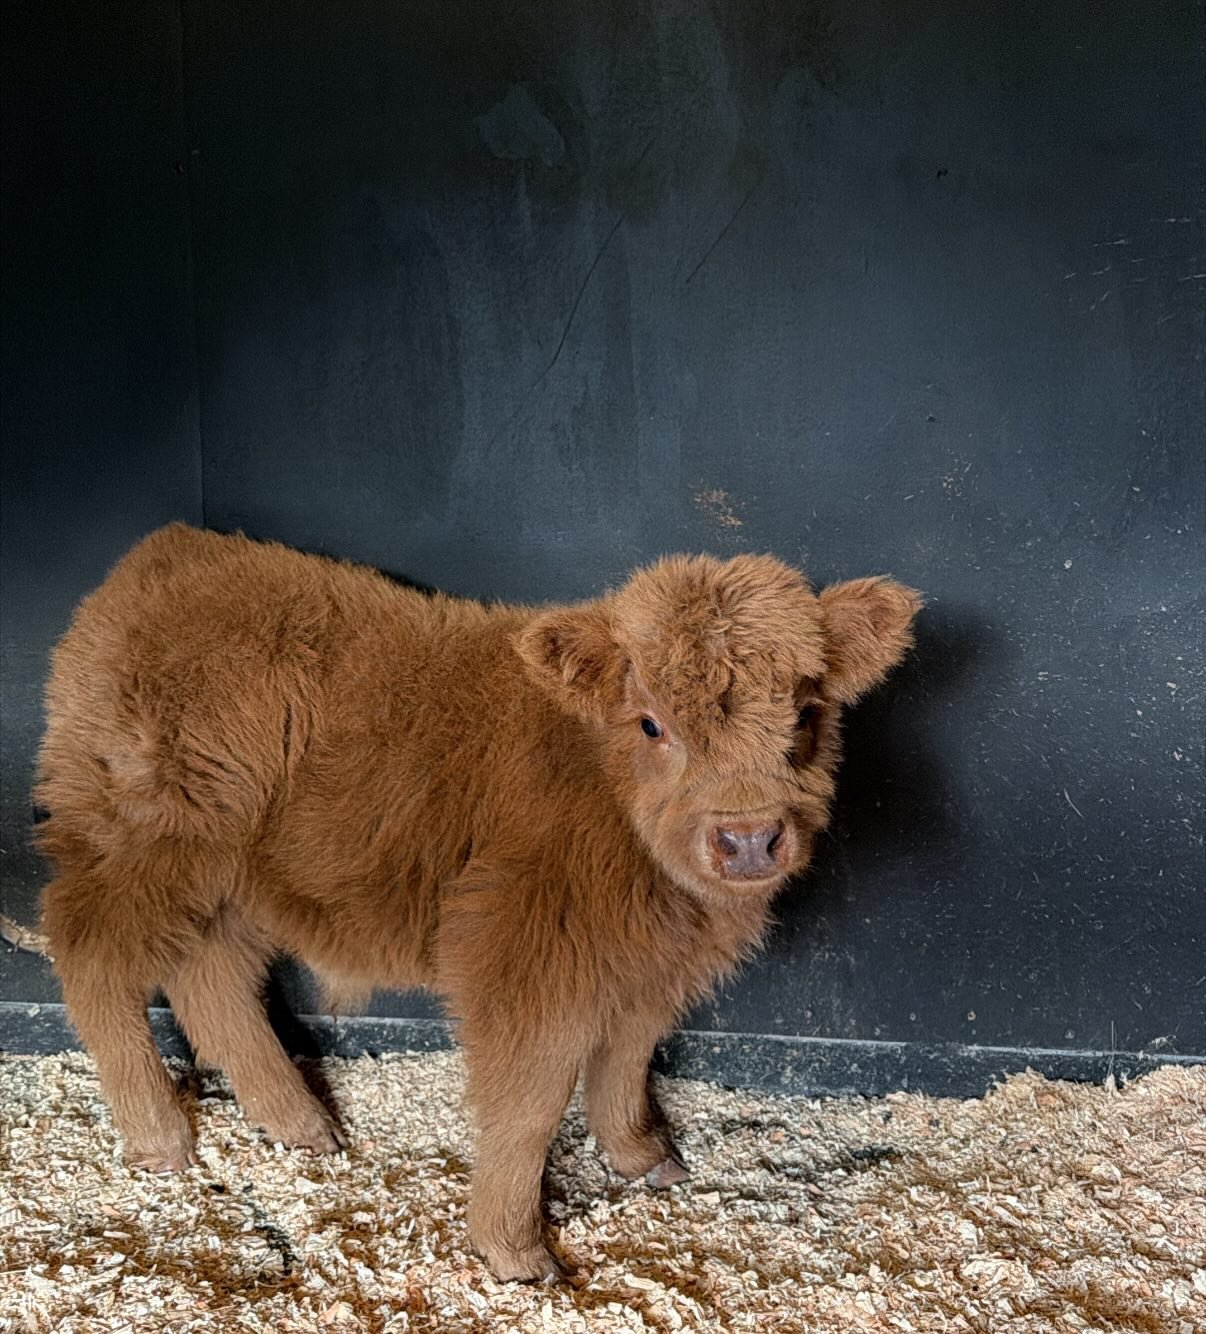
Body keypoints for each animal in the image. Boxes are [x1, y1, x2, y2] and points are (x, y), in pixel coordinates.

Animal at [34, 523, 920, 1280]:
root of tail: (166, 554)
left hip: (225, 878)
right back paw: (159, 1135)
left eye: (805, 713)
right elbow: (531, 1104)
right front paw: (515, 1250)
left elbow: (626, 1062)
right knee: (91, 951)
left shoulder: (647, 971)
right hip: (141, 843)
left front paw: (643, 1158)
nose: (748, 839)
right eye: (650, 723)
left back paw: (300, 1124)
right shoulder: (526, 965)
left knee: (209, 976)